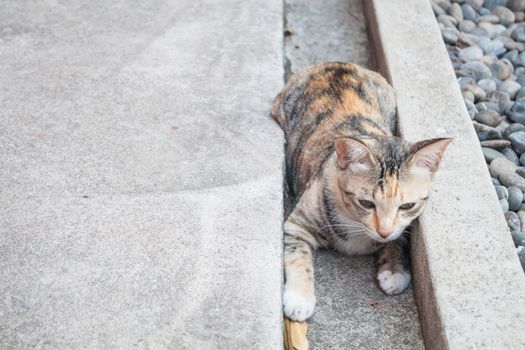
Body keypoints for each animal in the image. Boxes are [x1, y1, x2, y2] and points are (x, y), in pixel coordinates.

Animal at [270, 61, 450, 322]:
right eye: (366, 203)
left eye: (407, 206)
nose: (383, 232)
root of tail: (336, 64)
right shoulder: (295, 226)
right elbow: (298, 256)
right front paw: (299, 298)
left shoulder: (399, 227)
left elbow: (398, 238)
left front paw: (394, 270)